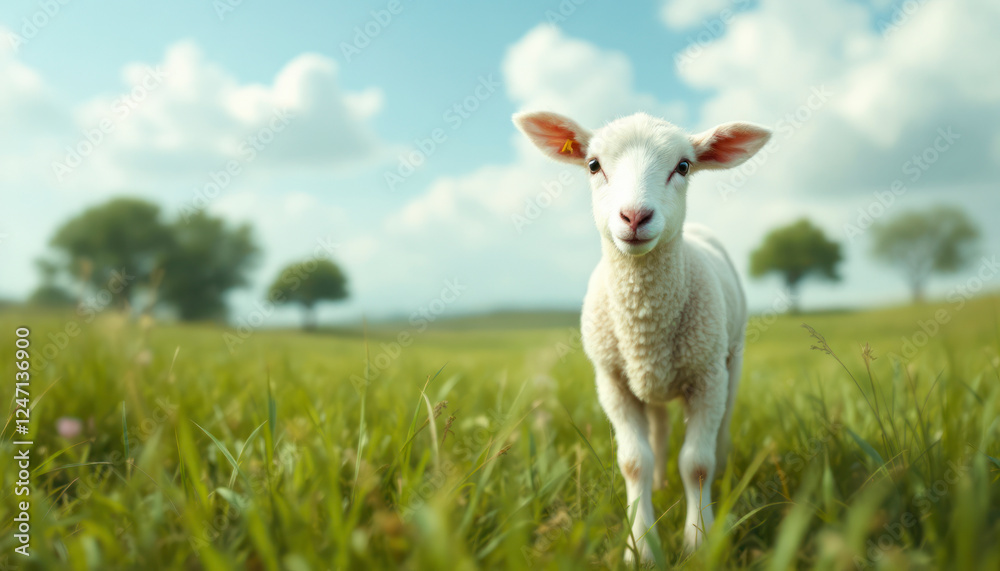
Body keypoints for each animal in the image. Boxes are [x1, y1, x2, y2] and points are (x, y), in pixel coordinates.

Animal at [513, 111, 771, 564]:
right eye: (593, 165)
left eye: (683, 166)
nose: (634, 217)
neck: (645, 323)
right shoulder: (612, 381)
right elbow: (635, 462)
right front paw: (641, 548)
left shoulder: (706, 377)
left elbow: (697, 463)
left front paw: (699, 543)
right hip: (650, 382)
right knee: (660, 430)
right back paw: (661, 487)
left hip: (731, 359)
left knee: (720, 432)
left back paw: (721, 478)